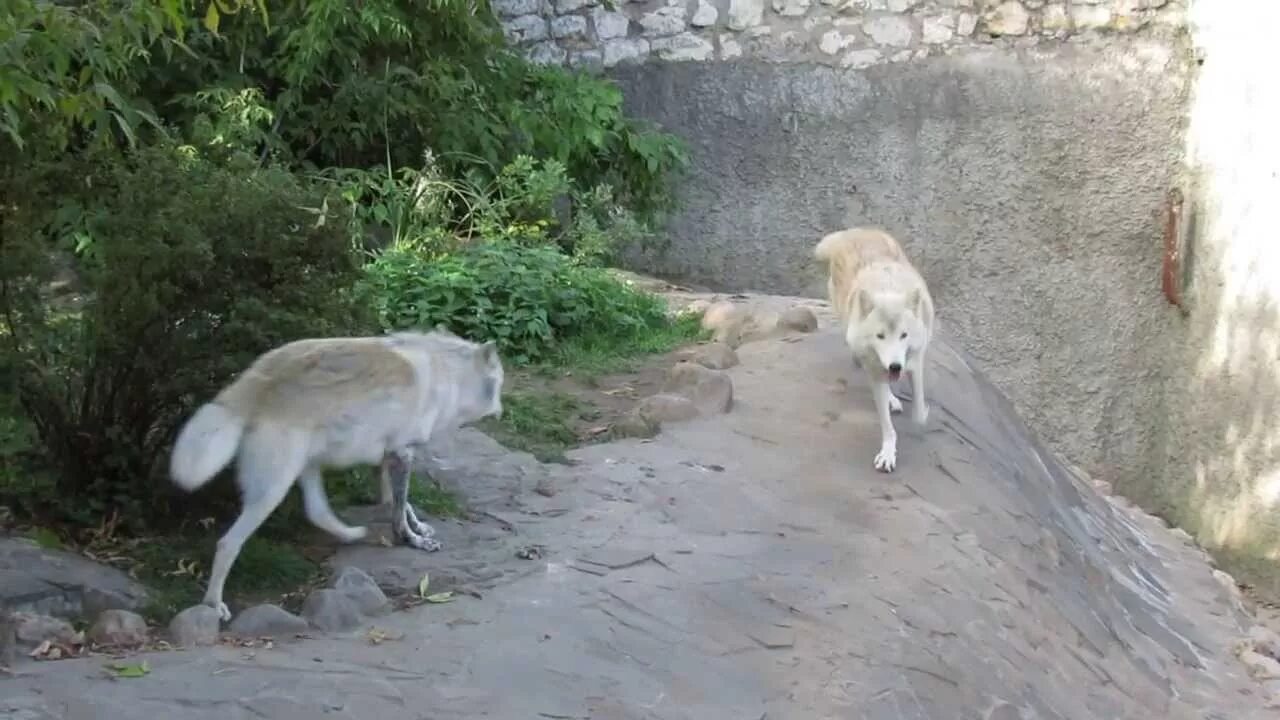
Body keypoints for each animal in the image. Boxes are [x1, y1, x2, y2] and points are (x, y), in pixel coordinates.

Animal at [168, 326, 504, 617]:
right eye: (499, 385)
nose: (501, 410)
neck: (447, 376)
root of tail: (255, 383)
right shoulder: (402, 453)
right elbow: (398, 508)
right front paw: (413, 540)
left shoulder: (389, 456)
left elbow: (399, 502)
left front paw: (418, 526)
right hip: (272, 492)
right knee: (227, 543)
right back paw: (213, 604)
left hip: (304, 469)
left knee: (316, 512)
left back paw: (352, 533)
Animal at [814, 224, 936, 471]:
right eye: (880, 336)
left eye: (904, 335)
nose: (895, 366)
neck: (888, 287)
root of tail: (853, 231)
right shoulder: (877, 370)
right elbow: (887, 426)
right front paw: (888, 454)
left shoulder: (915, 360)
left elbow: (919, 411)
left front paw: (921, 417)